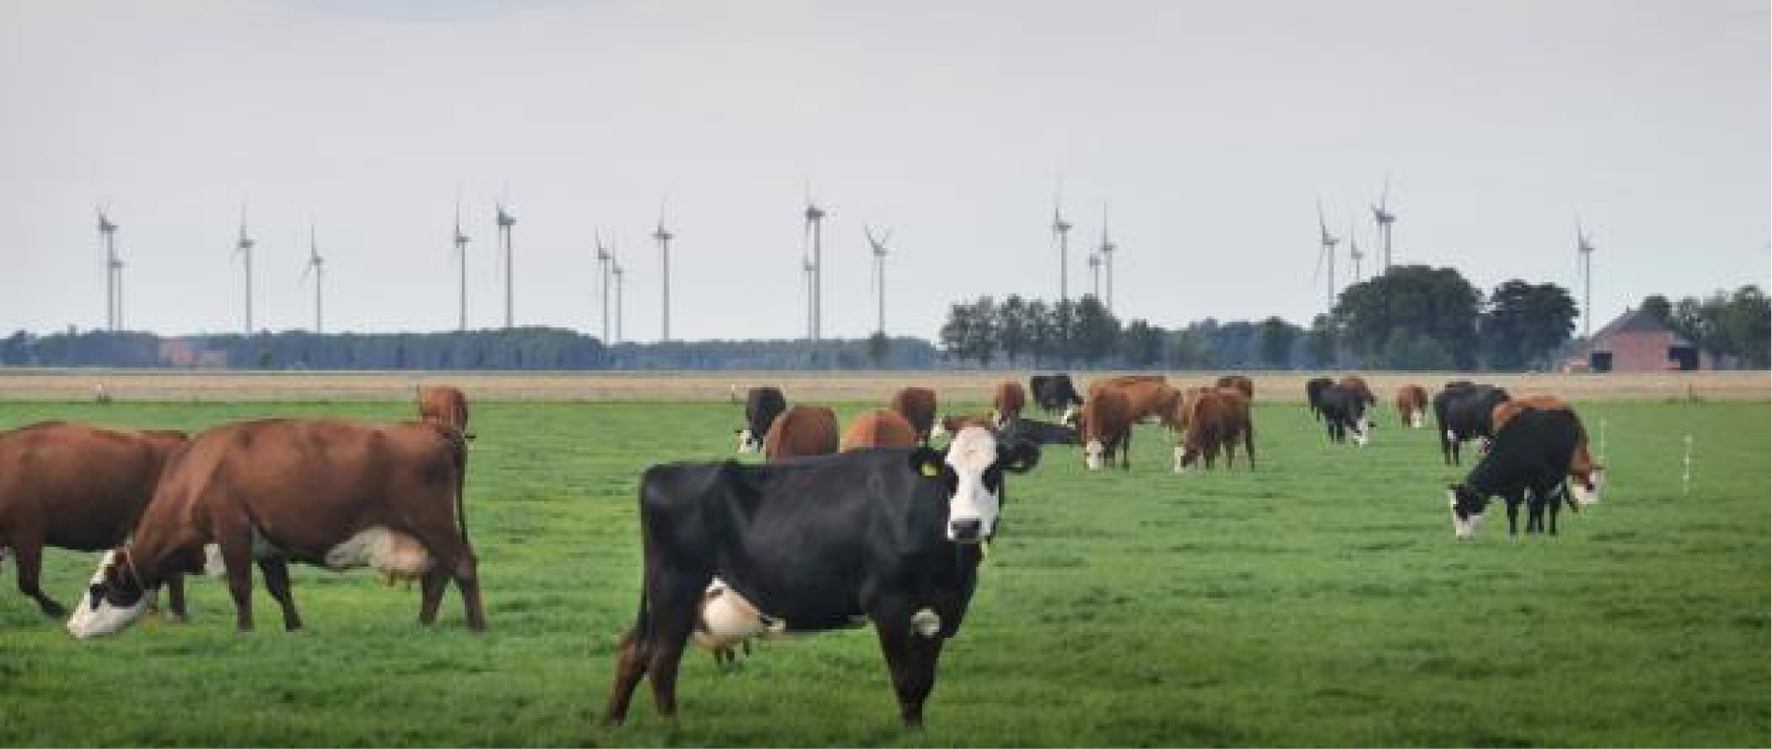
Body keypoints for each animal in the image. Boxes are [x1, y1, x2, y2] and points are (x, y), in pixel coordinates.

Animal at [66, 419, 485, 637]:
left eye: (96, 591)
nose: (71, 628)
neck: (198, 474)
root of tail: (430, 426)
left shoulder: (232, 528)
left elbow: (240, 586)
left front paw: (244, 630)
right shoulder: (265, 543)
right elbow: (279, 588)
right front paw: (294, 627)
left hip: (432, 523)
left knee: (463, 566)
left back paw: (476, 626)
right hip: (428, 532)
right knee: (438, 576)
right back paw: (424, 623)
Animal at [602, 430, 1041, 729]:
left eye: (994, 471)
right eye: (947, 475)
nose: (966, 525)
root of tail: (661, 471)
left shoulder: (941, 610)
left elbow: (922, 684)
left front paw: (917, 732)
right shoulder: (889, 605)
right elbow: (905, 681)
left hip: (666, 599)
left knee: (632, 650)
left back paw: (613, 723)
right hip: (674, 588)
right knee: (660, 659)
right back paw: (671, 730)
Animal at [1445, 405, 1587, 538]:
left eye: (1460, 508)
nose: (1460, 537)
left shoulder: (1538, 484)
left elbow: (1537, 508)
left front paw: (1531, 532)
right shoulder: (1511, 490)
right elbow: (1512, 512)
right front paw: (1513, 533)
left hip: (1557, 480)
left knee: (1551, 505)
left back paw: (1551, 531)